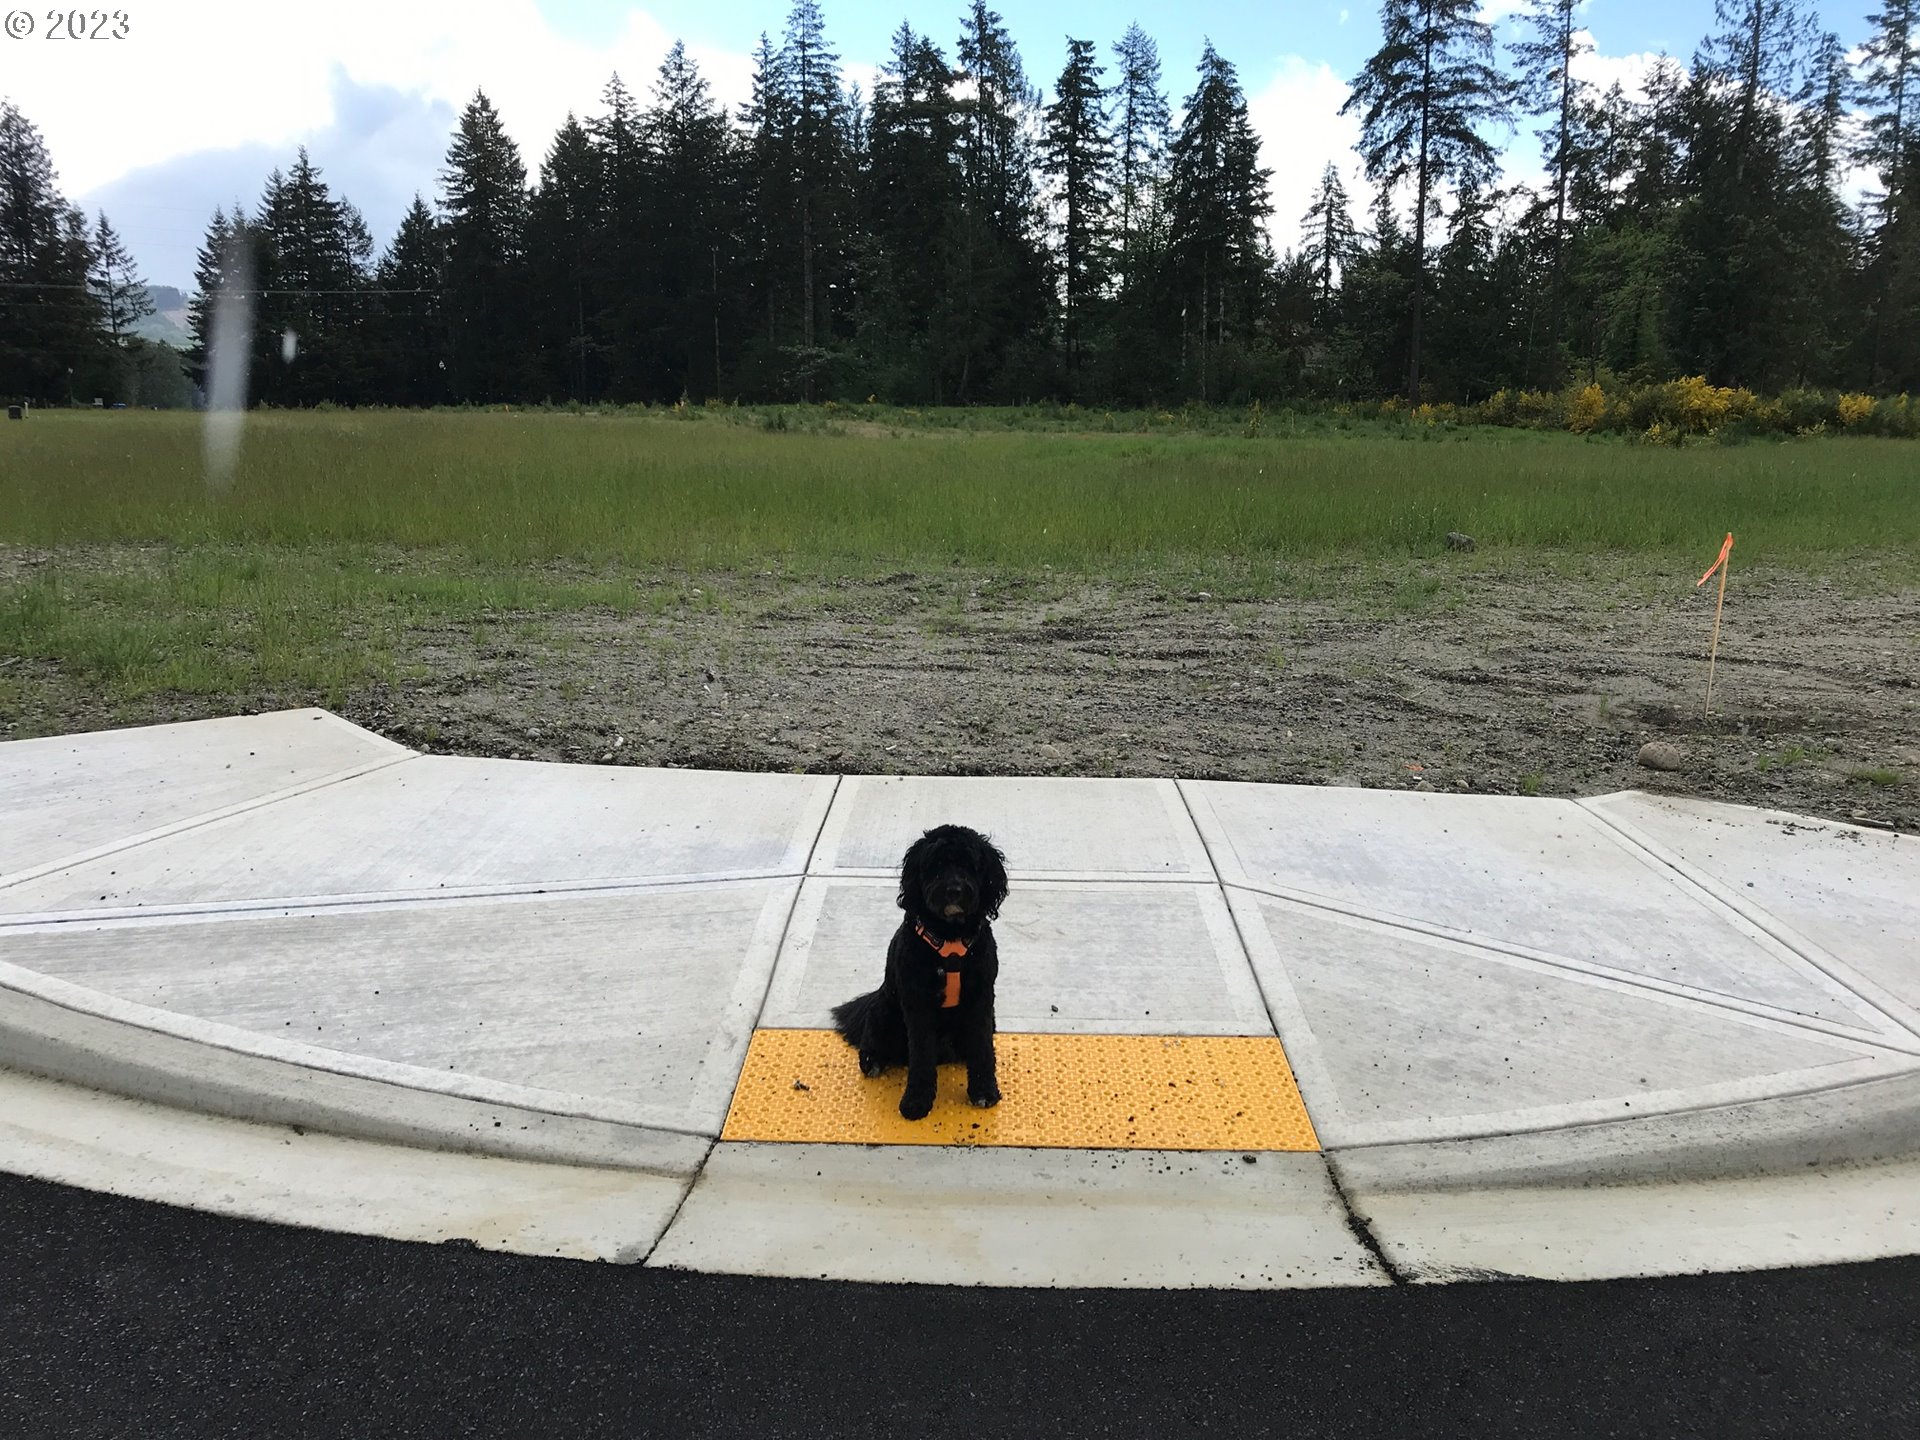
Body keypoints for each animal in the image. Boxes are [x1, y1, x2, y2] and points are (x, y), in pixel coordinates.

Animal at [829, 829, 1013, 1121]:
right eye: (935, 865)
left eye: (970, 865)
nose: (954, 891)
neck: (950, 938)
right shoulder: (918, 1005)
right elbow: (922, 1055)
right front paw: (916, 1101)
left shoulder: (981, 999)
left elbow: (983, 1047)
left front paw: (984, 1091)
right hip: (884, 1012)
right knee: (873, 1039)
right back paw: (872, 1060)